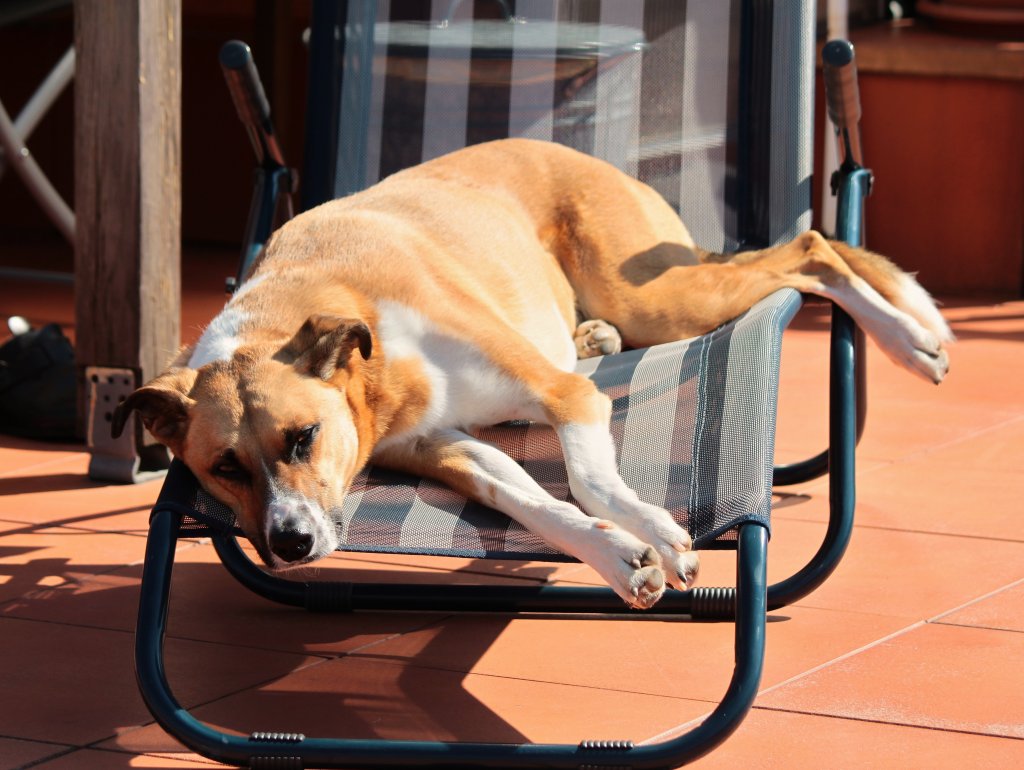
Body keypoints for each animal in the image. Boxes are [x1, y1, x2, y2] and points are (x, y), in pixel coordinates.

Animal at [112, 137, 950, 606]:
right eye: (223, 468)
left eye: (303, 437)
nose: (287, 544)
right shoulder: (445, 447)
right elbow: (530, 502)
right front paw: (619, 557)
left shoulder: (563, 394)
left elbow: (588, 480)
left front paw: (656, 532)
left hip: (660, 297)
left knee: (809, 251)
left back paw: (912, 337)